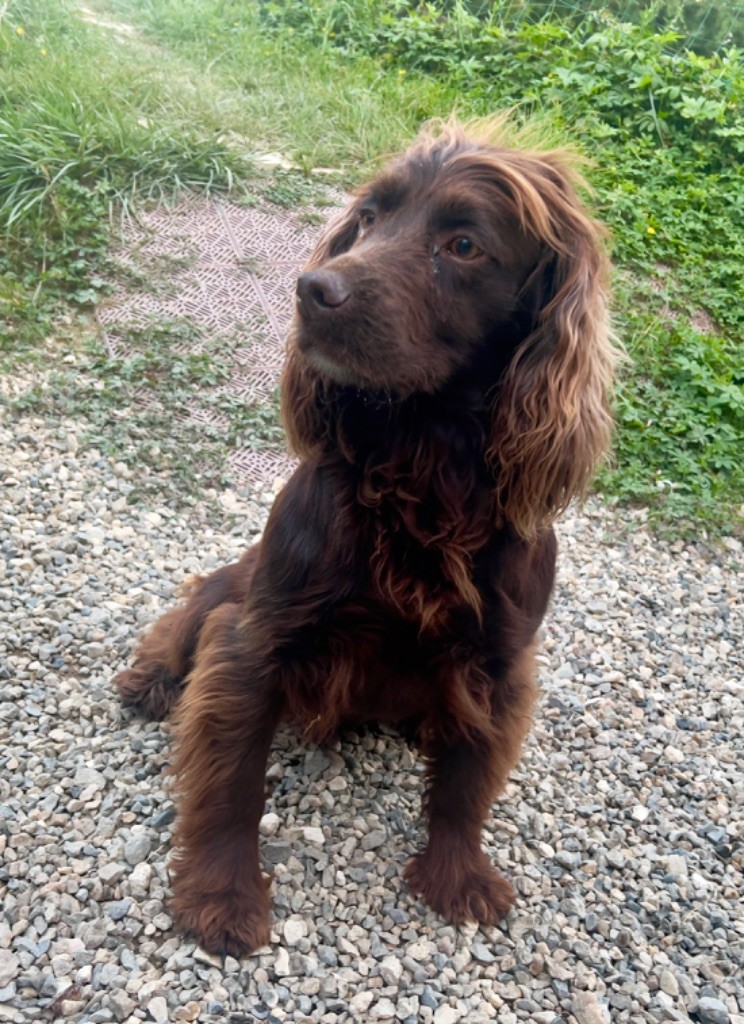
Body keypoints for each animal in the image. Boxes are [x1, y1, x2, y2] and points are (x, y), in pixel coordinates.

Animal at [115, 119, 618, 958]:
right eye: (371, 218)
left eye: (463, 245)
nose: (312, 290)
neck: (426, 472)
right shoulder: (257, 638)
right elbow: (232, 780)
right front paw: (221, 895)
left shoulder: (500, 666)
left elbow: (467, 785)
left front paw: (458, 875)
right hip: (231, 585)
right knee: (188, 610)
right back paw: (149, 678)